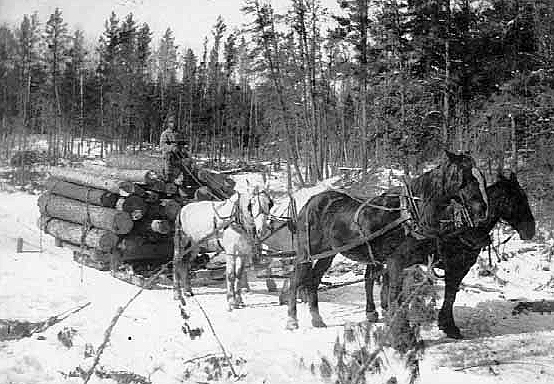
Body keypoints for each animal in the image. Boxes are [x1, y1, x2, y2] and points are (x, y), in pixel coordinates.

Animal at [174, 182, 272, 310]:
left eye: (269, 203)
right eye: (252, 203)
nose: (262, 229)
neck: (236, 219)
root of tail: (182, 209)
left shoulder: (243, 252)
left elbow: (239, 274)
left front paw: (239, 300)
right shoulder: (231, 251)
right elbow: (231, 275)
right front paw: (231, 301)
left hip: (194, 247)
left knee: (185, 263)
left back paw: (187, 291)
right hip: (182, 243)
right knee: (176, 263)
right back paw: (177, 294)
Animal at [284, 150, 484, 330]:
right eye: (462, 176)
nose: (480, 208)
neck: (409, 214)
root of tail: (310, 201)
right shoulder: (395, 262)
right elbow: (394, 294)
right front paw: (397, 327)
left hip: (327, 254)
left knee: (313, 281)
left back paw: (316, 319)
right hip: (307, 253)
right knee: (295, 279)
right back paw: (292, 319)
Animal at [378, 171, 532, 336]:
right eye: (516, 200)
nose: (531, 230)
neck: (466, 227)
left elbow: (451, 295)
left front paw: (446, 324)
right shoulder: (457, 267)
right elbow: (450, 295)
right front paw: (449, 326)